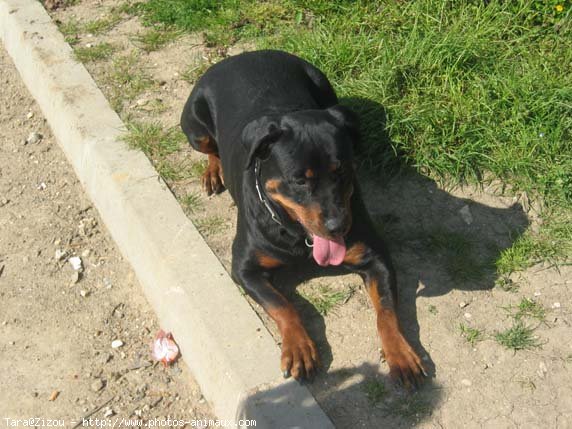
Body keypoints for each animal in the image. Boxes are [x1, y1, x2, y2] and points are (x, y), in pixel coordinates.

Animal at [181, 48, 426, 386]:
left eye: (342, 172)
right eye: (299, 181)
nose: (339, 226)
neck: (299, 237)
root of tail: (242, 55)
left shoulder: (376, 257)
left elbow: (387, 312)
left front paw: (400, 353)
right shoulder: (244, 268)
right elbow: (283, 306)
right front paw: (298, 348)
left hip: (323, 84)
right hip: (195, 126)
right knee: (209, 147)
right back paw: (212, 171)